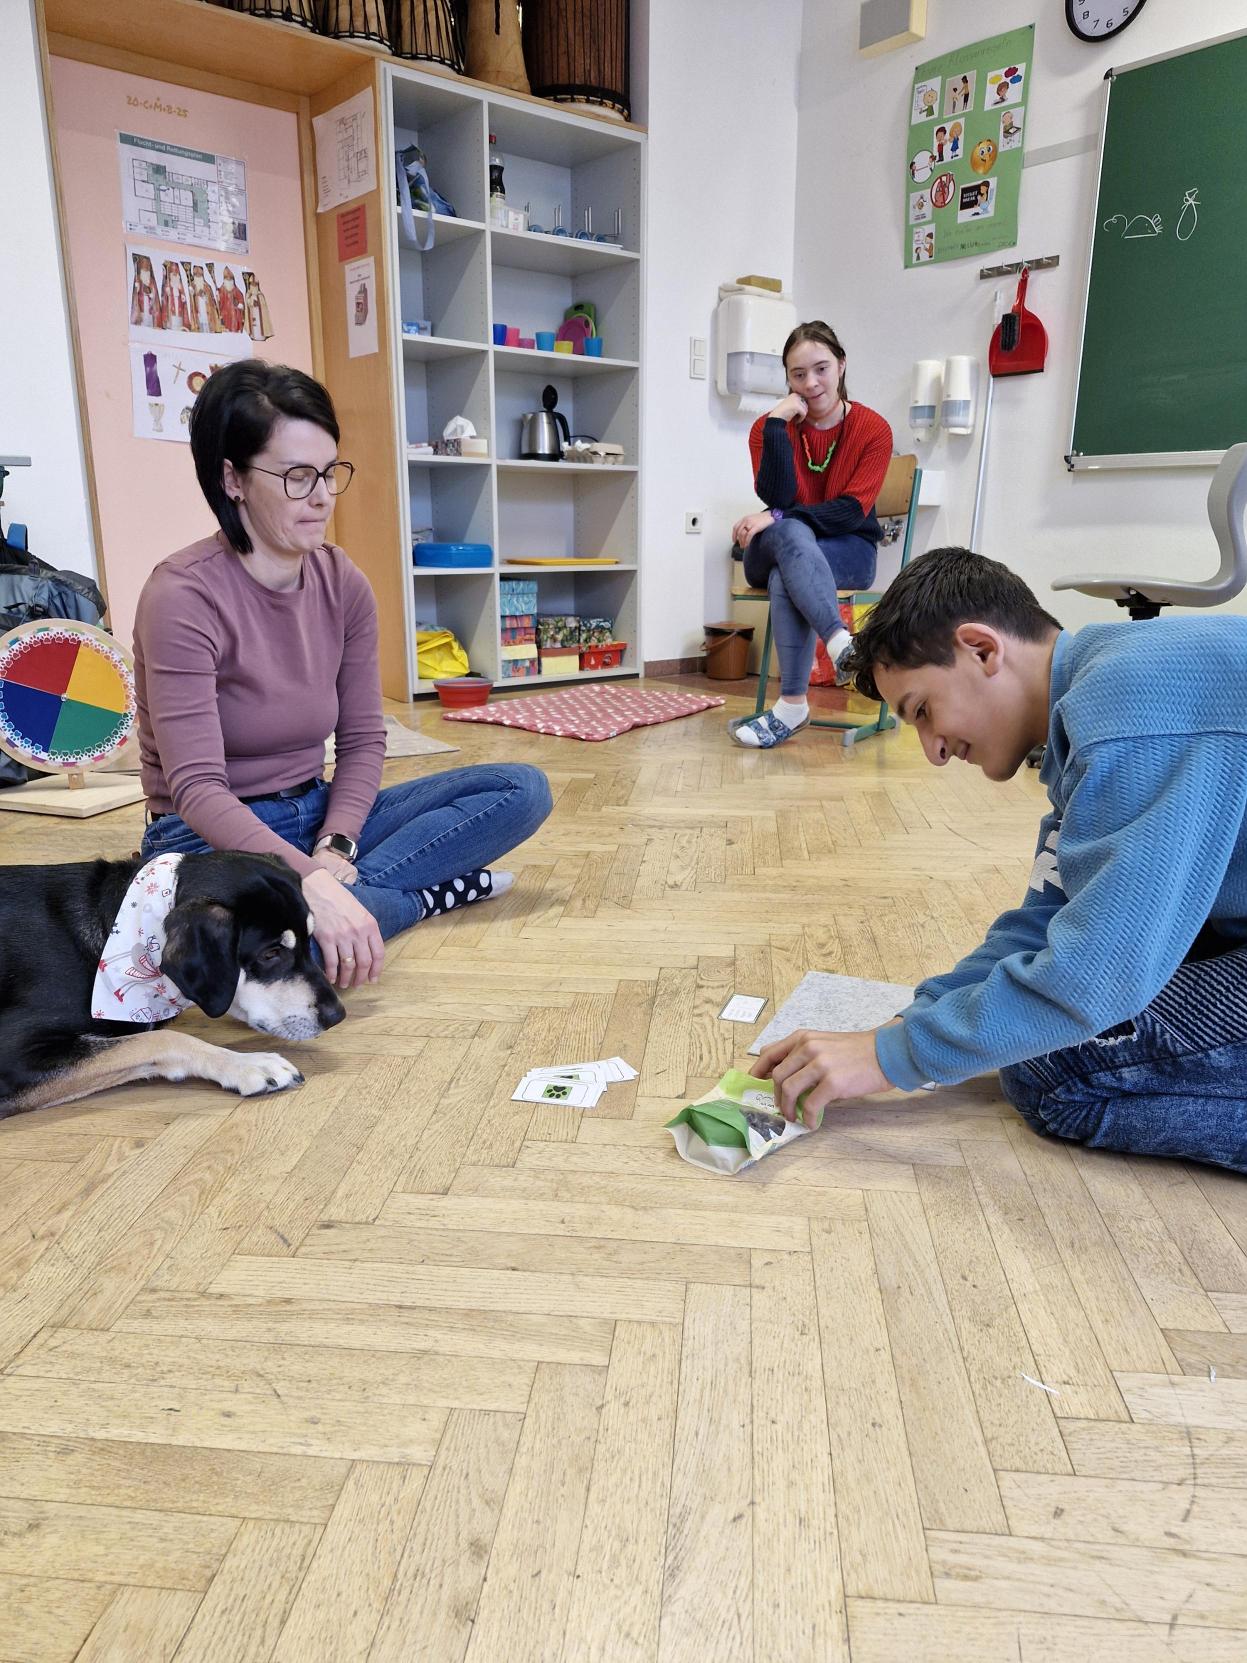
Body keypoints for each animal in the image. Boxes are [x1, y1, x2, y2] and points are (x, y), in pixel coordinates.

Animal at [0, 849, 344, 1119]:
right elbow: (158, 1039)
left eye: (310, 938)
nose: (336, 1016)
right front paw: (248, 1064)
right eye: (270, 953)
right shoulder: (12, 1056)